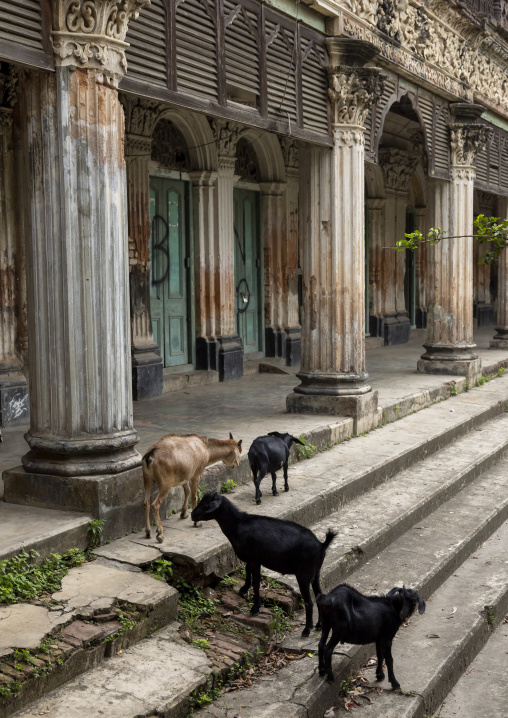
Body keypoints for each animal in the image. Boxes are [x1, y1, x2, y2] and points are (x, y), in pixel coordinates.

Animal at [191, 491, 336, 636]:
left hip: (304, 575)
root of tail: (321, 545)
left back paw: (307, 630)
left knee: (309, 602)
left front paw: (255, 608)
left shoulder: (254, 559)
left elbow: (256, 582)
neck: (239, 525)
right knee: (319, 596)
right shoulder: (252, 559)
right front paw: (243, 589)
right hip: (316, 573)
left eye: (206, 504)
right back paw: (318, 625)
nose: (192, 515)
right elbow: (247, 570)